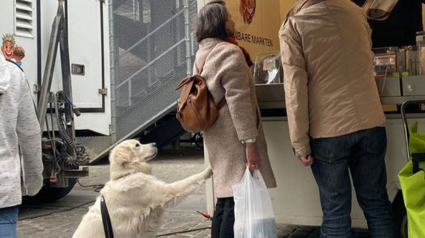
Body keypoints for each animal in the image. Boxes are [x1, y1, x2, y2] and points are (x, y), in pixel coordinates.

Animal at [73, 139, 214, 238]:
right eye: (137, 145)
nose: (155, 143)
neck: (126, 175)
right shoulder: (164, 192)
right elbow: (190, 180)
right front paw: (208, 170)